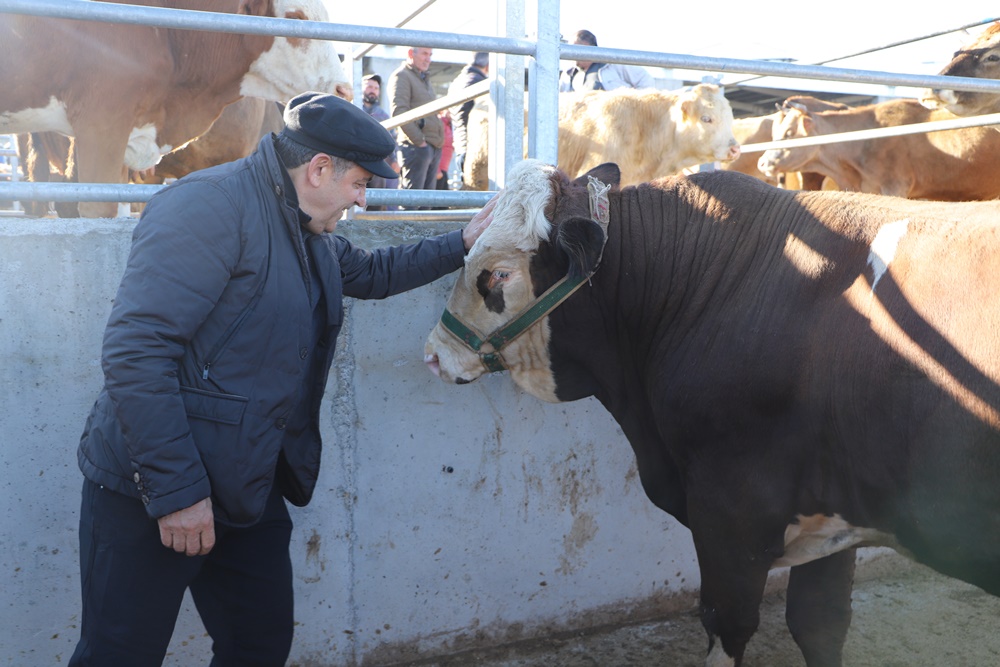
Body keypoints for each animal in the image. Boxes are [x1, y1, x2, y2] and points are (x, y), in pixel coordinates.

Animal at [424, 158, 1000, 667]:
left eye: (497, 275)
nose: (433, 353)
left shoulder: (732, 511)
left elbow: (727, 624)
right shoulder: (834, 508)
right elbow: (819, 623)